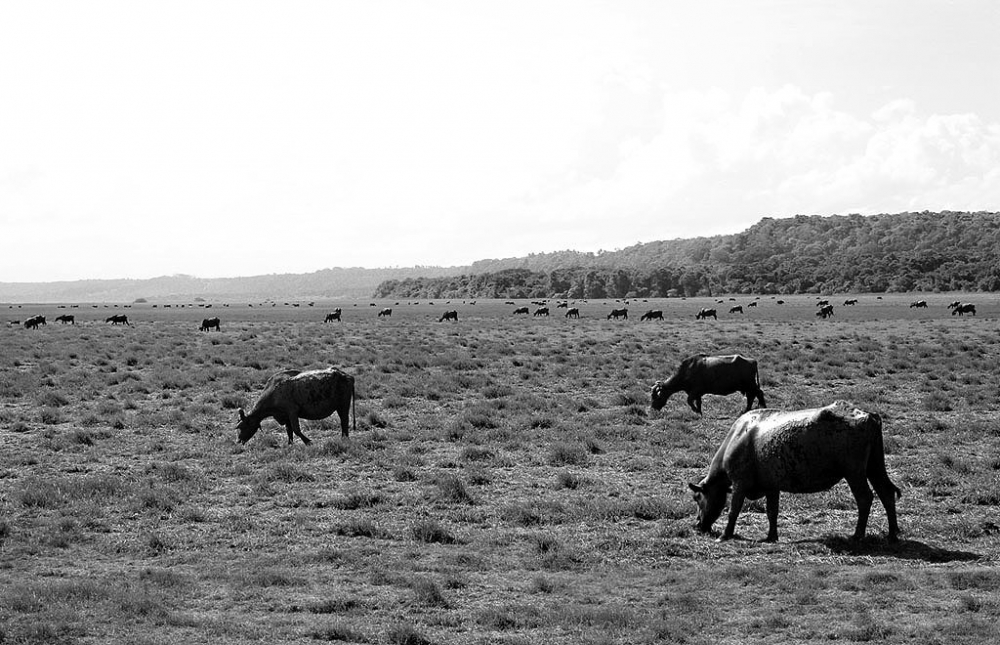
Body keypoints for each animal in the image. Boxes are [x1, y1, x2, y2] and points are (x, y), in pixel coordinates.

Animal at [692, 400, 904, 540]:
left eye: (697, 497)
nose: (697, 525)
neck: (738, 437)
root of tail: (869, 416)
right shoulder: (771, 486)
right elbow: (772, 511)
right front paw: (771, 536)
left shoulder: (739, 483)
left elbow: (734, 510)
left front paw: (725, 535)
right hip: (875, 467)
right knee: (886, 492)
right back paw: (893, 533)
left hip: (855, 473)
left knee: (865, 498)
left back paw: (857, 535)